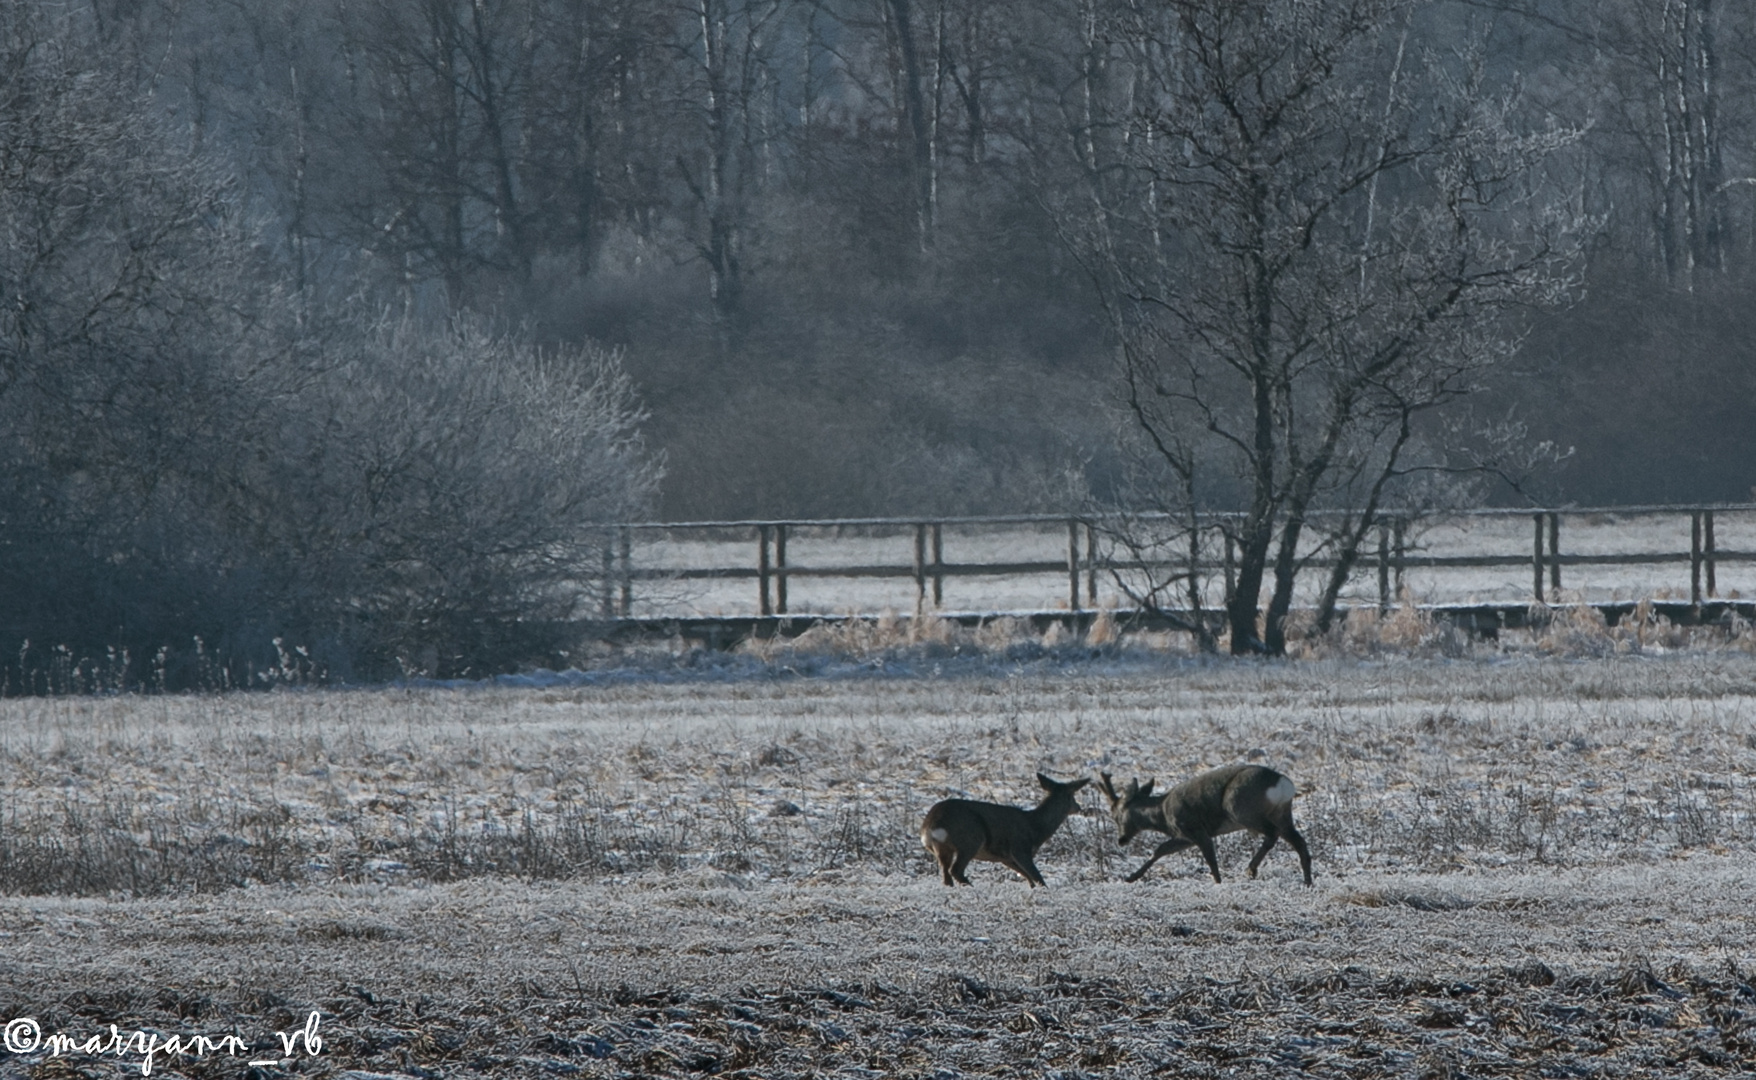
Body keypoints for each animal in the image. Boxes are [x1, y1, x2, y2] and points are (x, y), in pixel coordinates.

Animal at [913, 776, 1088, 888]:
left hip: (941, 848)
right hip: (970, 839)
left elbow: (1029, 878)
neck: (1035, 827)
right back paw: (972, 888)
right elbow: (1037, 878)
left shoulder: (1005, 858)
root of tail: (931, 824)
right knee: (955, 870)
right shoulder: (1020, 848)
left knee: (946, 874)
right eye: (1073, 796)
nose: (1079, 807)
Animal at [1102, 762, 1313, 888]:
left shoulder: (1195, 830)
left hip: (1243, 810)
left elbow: (1210, 858)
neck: (1162, 812)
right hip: (1282, 814)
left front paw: (1218, 883)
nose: (1121, 840)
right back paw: (1308, 881)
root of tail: (1282, 783)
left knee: (1272, 834)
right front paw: (1131, 877)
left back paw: (1251, 869)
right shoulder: (1184, 837)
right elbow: (1161, 850)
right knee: (1299, 842)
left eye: (1115, 815)